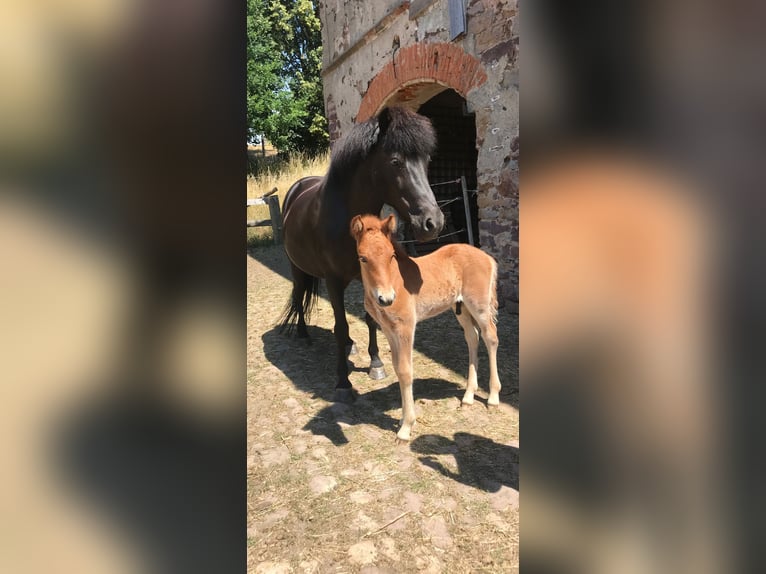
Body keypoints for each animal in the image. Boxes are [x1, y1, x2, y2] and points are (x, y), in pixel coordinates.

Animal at [280, 109, 444, 404]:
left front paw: (376, 364)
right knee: (299, 295)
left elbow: (369, 319)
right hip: (298, 268)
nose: (432, 223)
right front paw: (343, 383)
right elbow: (341, 326)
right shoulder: (333, 281)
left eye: (426, 160)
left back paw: (349, 346)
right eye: (395, 161)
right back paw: (302, 334)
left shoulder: (369, 277)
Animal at [350, 214, 504, 444]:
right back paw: (468, 396)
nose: (386, 299)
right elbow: (397, 368)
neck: (395, 281)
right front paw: (403, 420)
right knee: (473, 338)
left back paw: (493, 397)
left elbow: (406, 371)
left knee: (490, 337)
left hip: (479, 306)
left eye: (391, 255)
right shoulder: (388, 329)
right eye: (362, 258)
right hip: (460, 307)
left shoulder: (405, 327)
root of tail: (487, 257)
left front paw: (406, 428)